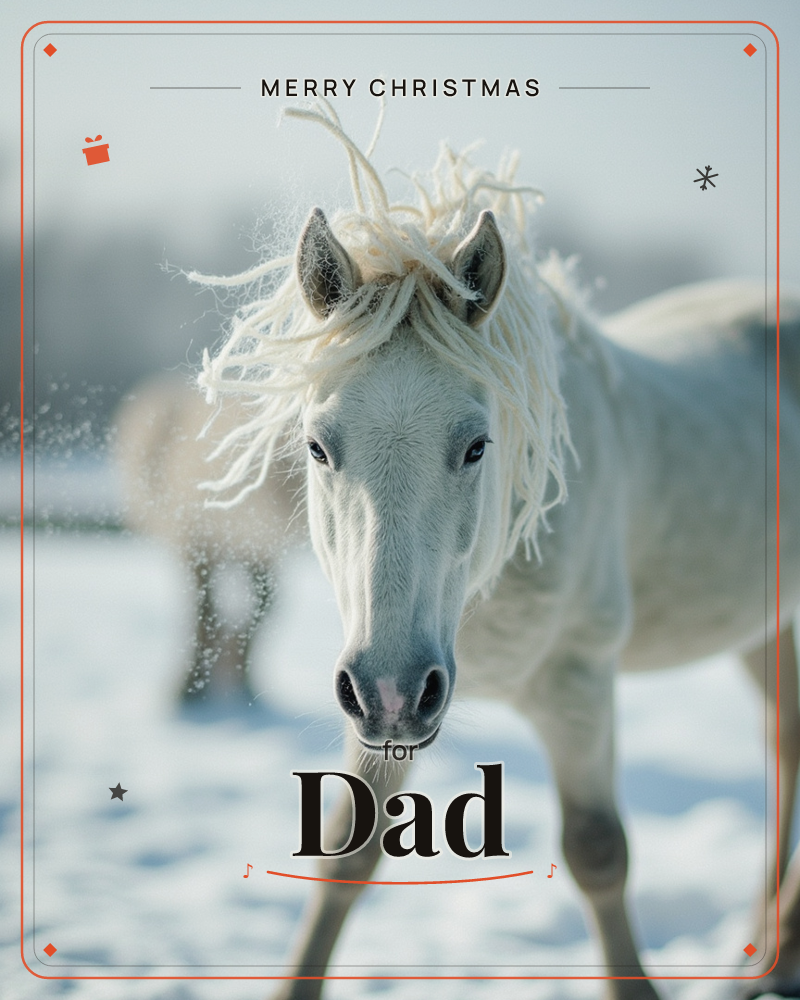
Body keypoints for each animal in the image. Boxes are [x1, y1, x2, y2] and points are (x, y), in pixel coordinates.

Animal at [114, 373, 304, 704]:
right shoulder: (195, 540)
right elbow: (204, 612)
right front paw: (187, 686)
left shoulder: (262, 548)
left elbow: (265, 607)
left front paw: (238, 676)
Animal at [194, 101, 800, 998]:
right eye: (317, 447)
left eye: (477, 445)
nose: (393, 690)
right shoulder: (376, 702)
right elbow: (345, 855)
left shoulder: (579, 684)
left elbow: (598, 853)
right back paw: (764, 955)